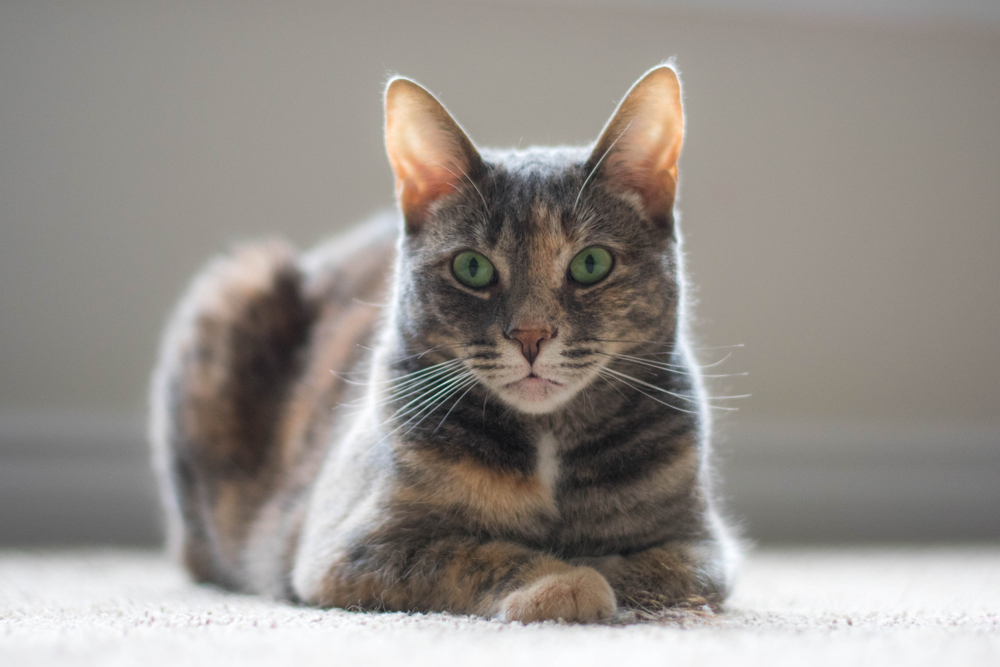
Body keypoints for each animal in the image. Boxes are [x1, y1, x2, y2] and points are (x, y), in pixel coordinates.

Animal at [152, 65, 740, 624]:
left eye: (591, 263)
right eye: (472, 268)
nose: (530, 335)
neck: (546, 443)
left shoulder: (706, 546)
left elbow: (657, 565)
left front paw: (595, 566)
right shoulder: (350, 547)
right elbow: (470, 553)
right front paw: (563, 581)